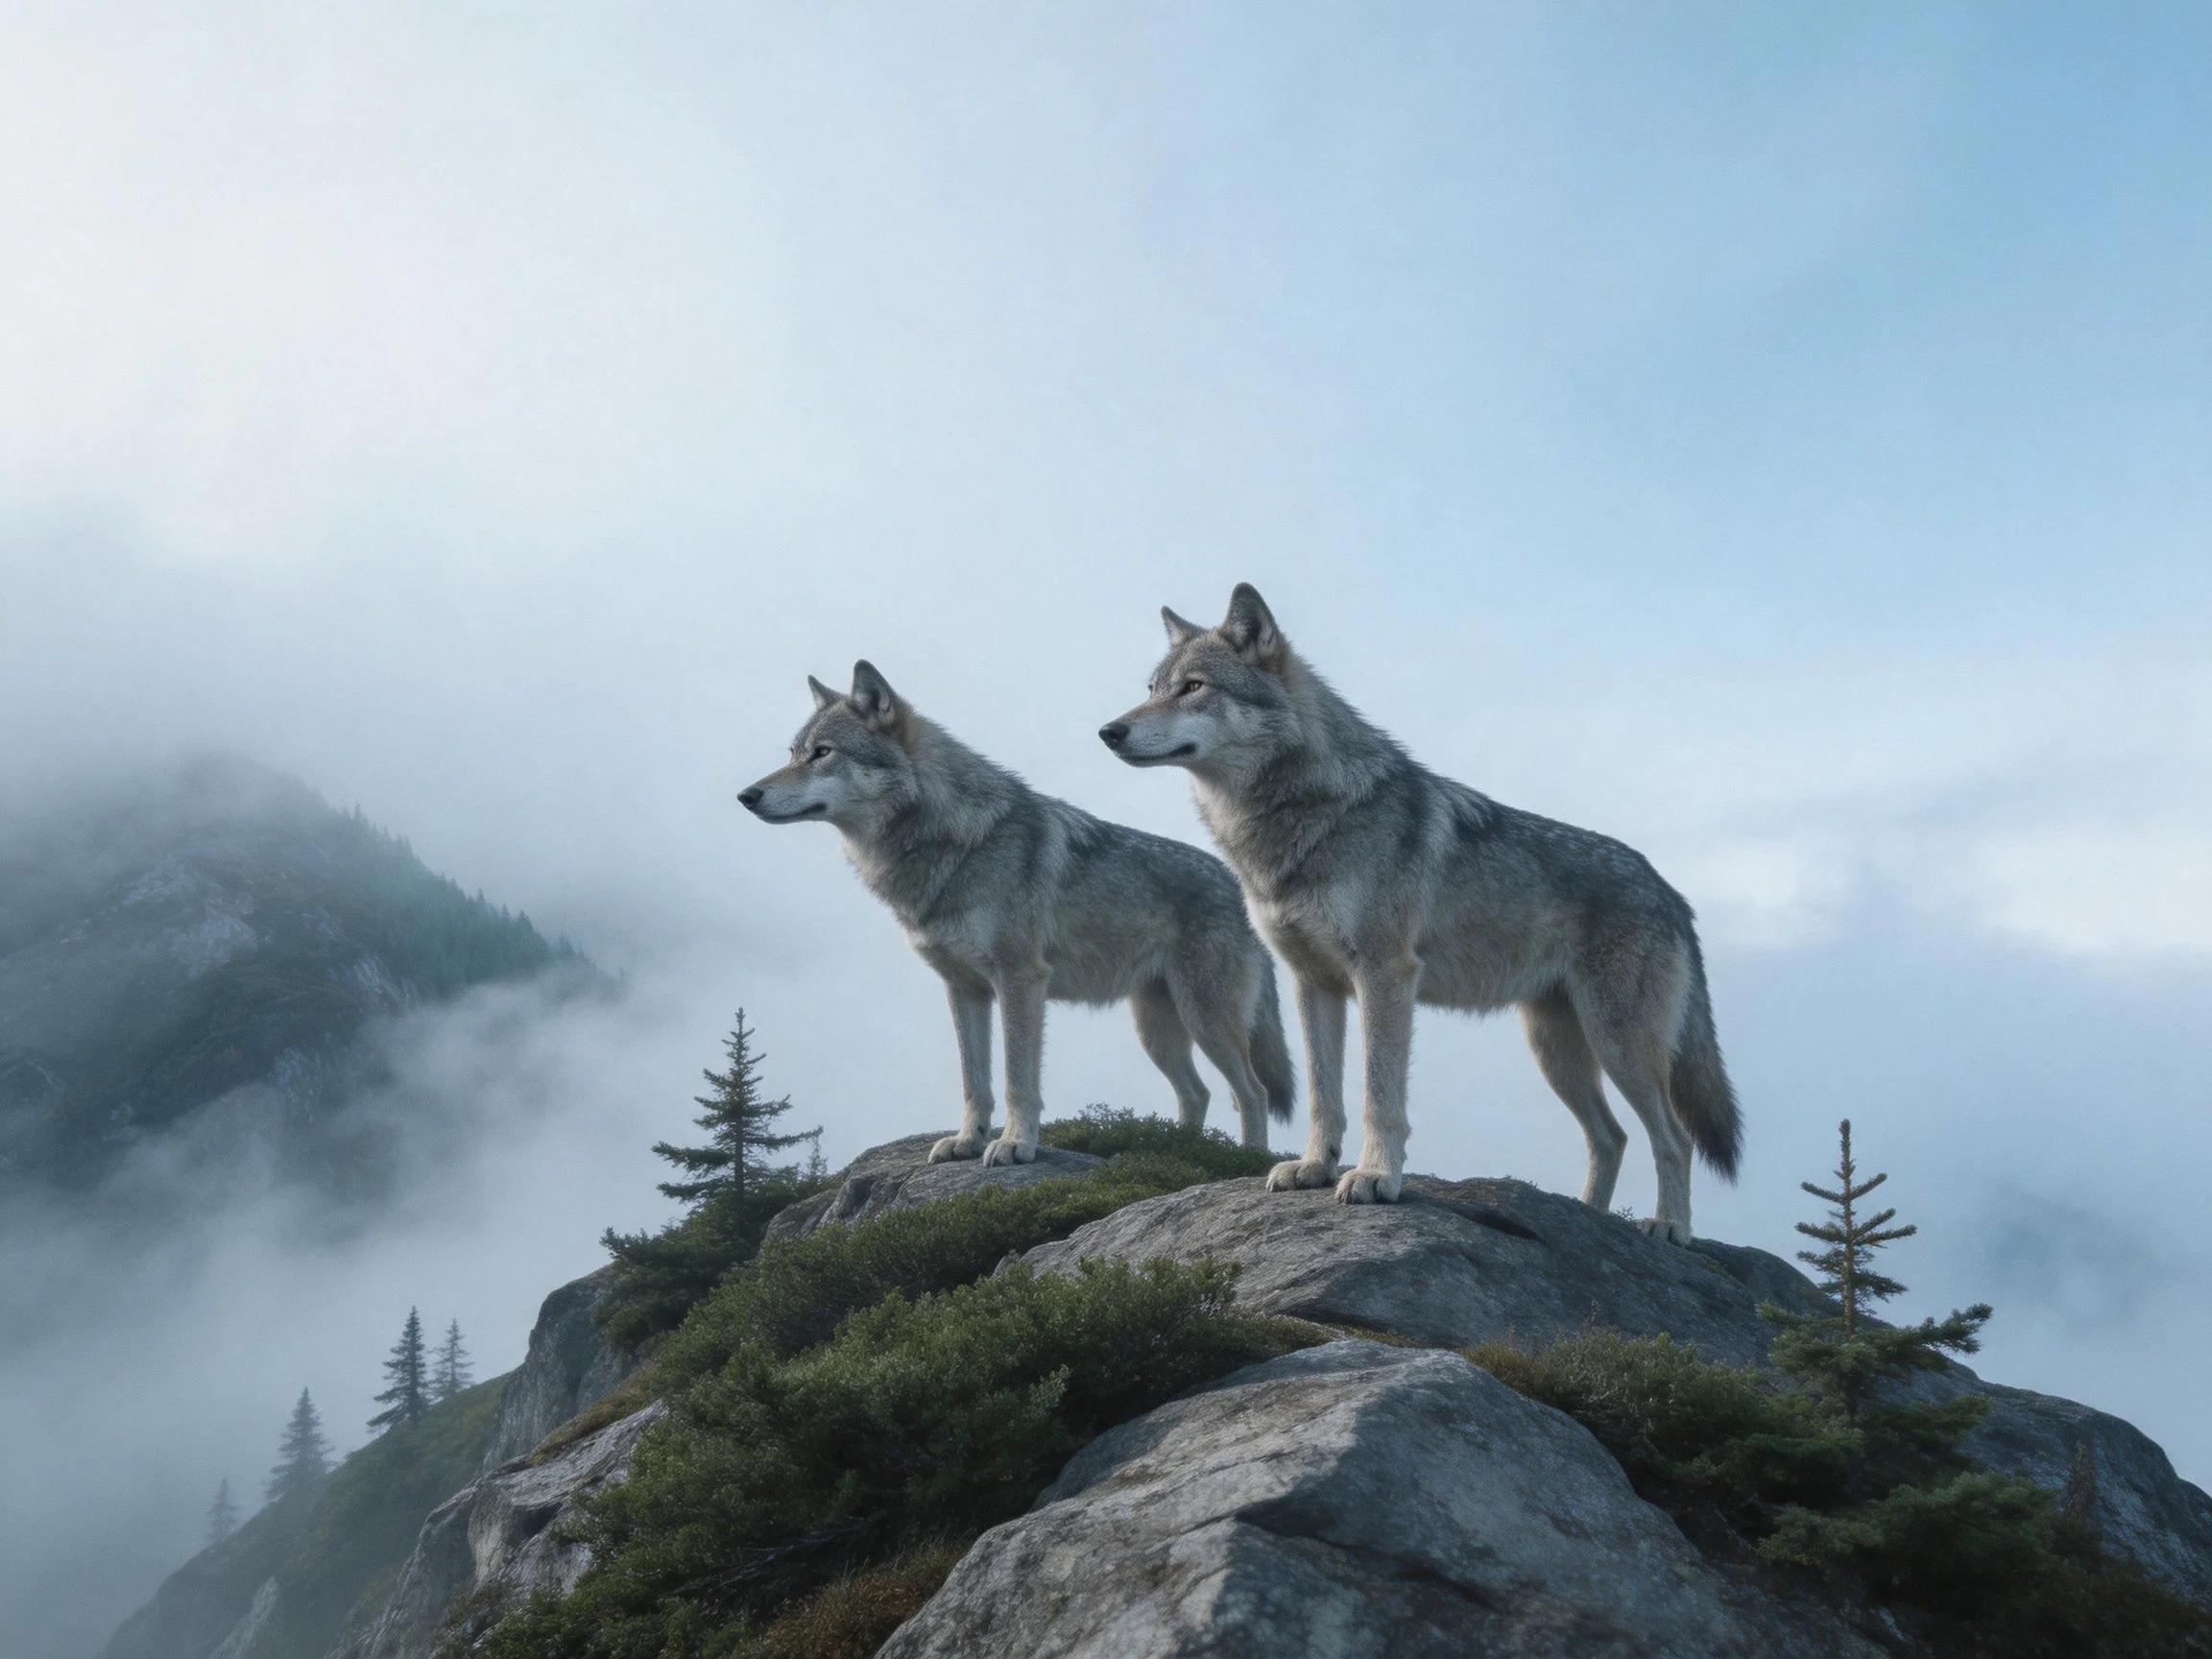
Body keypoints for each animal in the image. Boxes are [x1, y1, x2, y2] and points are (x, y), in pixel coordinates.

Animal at [739, 660, 1296, 1166]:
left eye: (823, 753)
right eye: (794, 753)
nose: (747, 795)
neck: (955, 843)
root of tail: (1240, 884)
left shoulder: (1021, 979)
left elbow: (1016, 1079)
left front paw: (1014, 1145)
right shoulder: (963, 988)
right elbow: (974, 1080)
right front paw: (967, 1141)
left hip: (1205, 1018)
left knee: (1251, 1092)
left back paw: (1247, 1163)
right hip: (1155, 1029)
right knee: (1197, 1093)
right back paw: (1181, 1151)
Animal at [1099, 585, 1740, 1241]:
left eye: (1193, 687)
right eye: (1152, 688)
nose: (1109, 731)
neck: (1300, 819)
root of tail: (1671, 892)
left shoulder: (1385, 974)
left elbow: (1378, 1094)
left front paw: (1375, 1178)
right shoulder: (1312, 982)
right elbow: (1324, 1094)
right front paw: (1313, 1168)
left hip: (1618, 1044)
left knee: (1674, 1138)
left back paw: (1670, 1229)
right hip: (1555, 1049)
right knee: (1611, 1137)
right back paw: (1587, 1217)